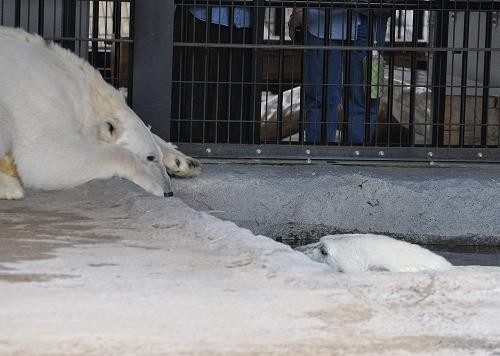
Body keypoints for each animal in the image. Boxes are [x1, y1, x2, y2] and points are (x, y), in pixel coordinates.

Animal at [0, 27, 199, 200]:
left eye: (158, 156)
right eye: (149, 157)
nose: (169, 192)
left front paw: (185, 162)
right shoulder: (42, 99)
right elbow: (45, 157)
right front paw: (153, 184)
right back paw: (10, 187)